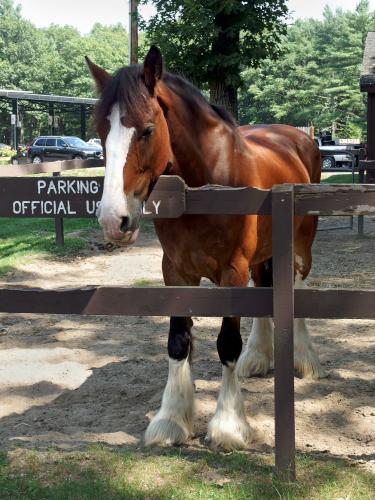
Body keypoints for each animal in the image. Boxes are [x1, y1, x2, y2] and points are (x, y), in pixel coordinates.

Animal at [86, 47, 328, 452]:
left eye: (147, 130)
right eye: (100, 131)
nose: (112, 220)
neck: (209, 180)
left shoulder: (232, 270)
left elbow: (226, 343)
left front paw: (228, 426)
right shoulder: (176, 271)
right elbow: (178, 341)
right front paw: (170, 420)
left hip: (300, 245)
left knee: (299, 284)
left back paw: (305, 359)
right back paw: (257, 357)